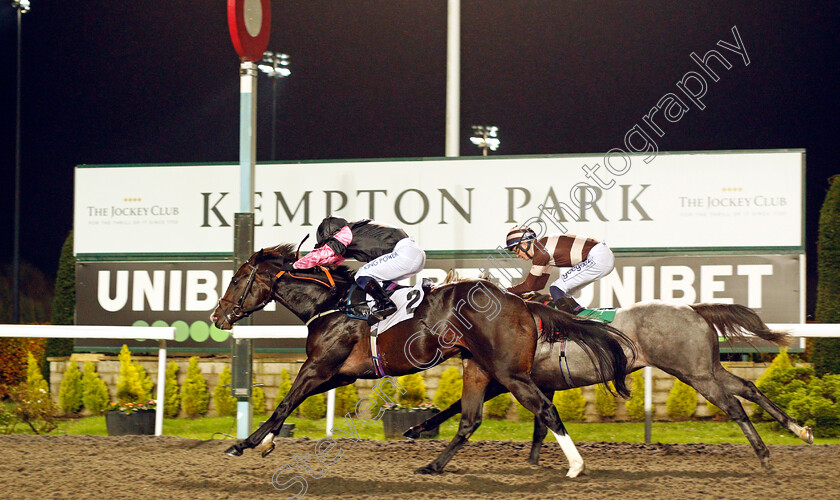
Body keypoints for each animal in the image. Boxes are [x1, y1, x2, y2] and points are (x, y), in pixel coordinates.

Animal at [210, 246, 636, 476]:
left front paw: (244, 444)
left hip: (508, 371)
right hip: (479, 367)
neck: (329, 305)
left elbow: (285, 403)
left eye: (236, 280)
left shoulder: (318, 366)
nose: (217, 316)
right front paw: (265, 442)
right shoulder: (340, 374)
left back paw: (576, 465)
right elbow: (289, 404)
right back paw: (432, 465)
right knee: (470, 419)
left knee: (545, 410)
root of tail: (522, 302)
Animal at [406, 292, 812, 468]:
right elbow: (541, 425)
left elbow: (456, 406)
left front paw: (417, 429)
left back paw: (764, 454)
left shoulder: (507, 377)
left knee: (734, 405)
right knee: (749, 388)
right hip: (706, 368)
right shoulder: (538, 381)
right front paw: (535, 462)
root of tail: (693, 309)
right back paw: (800, 429)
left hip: (694, 373)